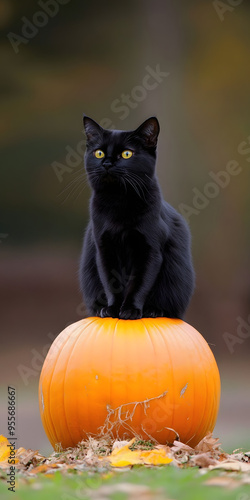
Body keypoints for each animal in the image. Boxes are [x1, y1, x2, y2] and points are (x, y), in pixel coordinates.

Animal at [79, 116, 194, 320]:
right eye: (99, 153)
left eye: (127, 154)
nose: (107, 163)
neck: (118, 202)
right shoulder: (104, 249)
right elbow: (111, 282)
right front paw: (112, 309)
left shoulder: (150, 250)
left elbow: (139, 283)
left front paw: (130, 310)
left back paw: (153, 310)